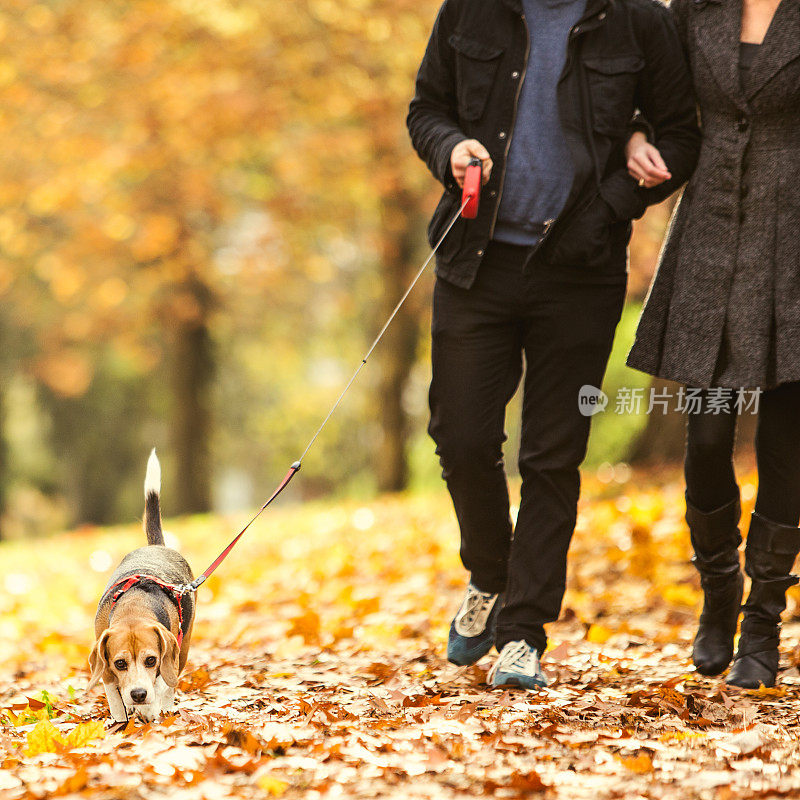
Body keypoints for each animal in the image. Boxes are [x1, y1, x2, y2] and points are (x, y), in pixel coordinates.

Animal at [88, 450, 196, 724]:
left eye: (150, 660)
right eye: (120, 663)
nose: (138, 694)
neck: (135, 606)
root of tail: (156, 546)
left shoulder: (168, 657)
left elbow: (161, 684)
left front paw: (149, 709)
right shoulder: (104, 666)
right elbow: (115, 697)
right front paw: (121, 719)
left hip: (183, 648)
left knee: (170, 683)